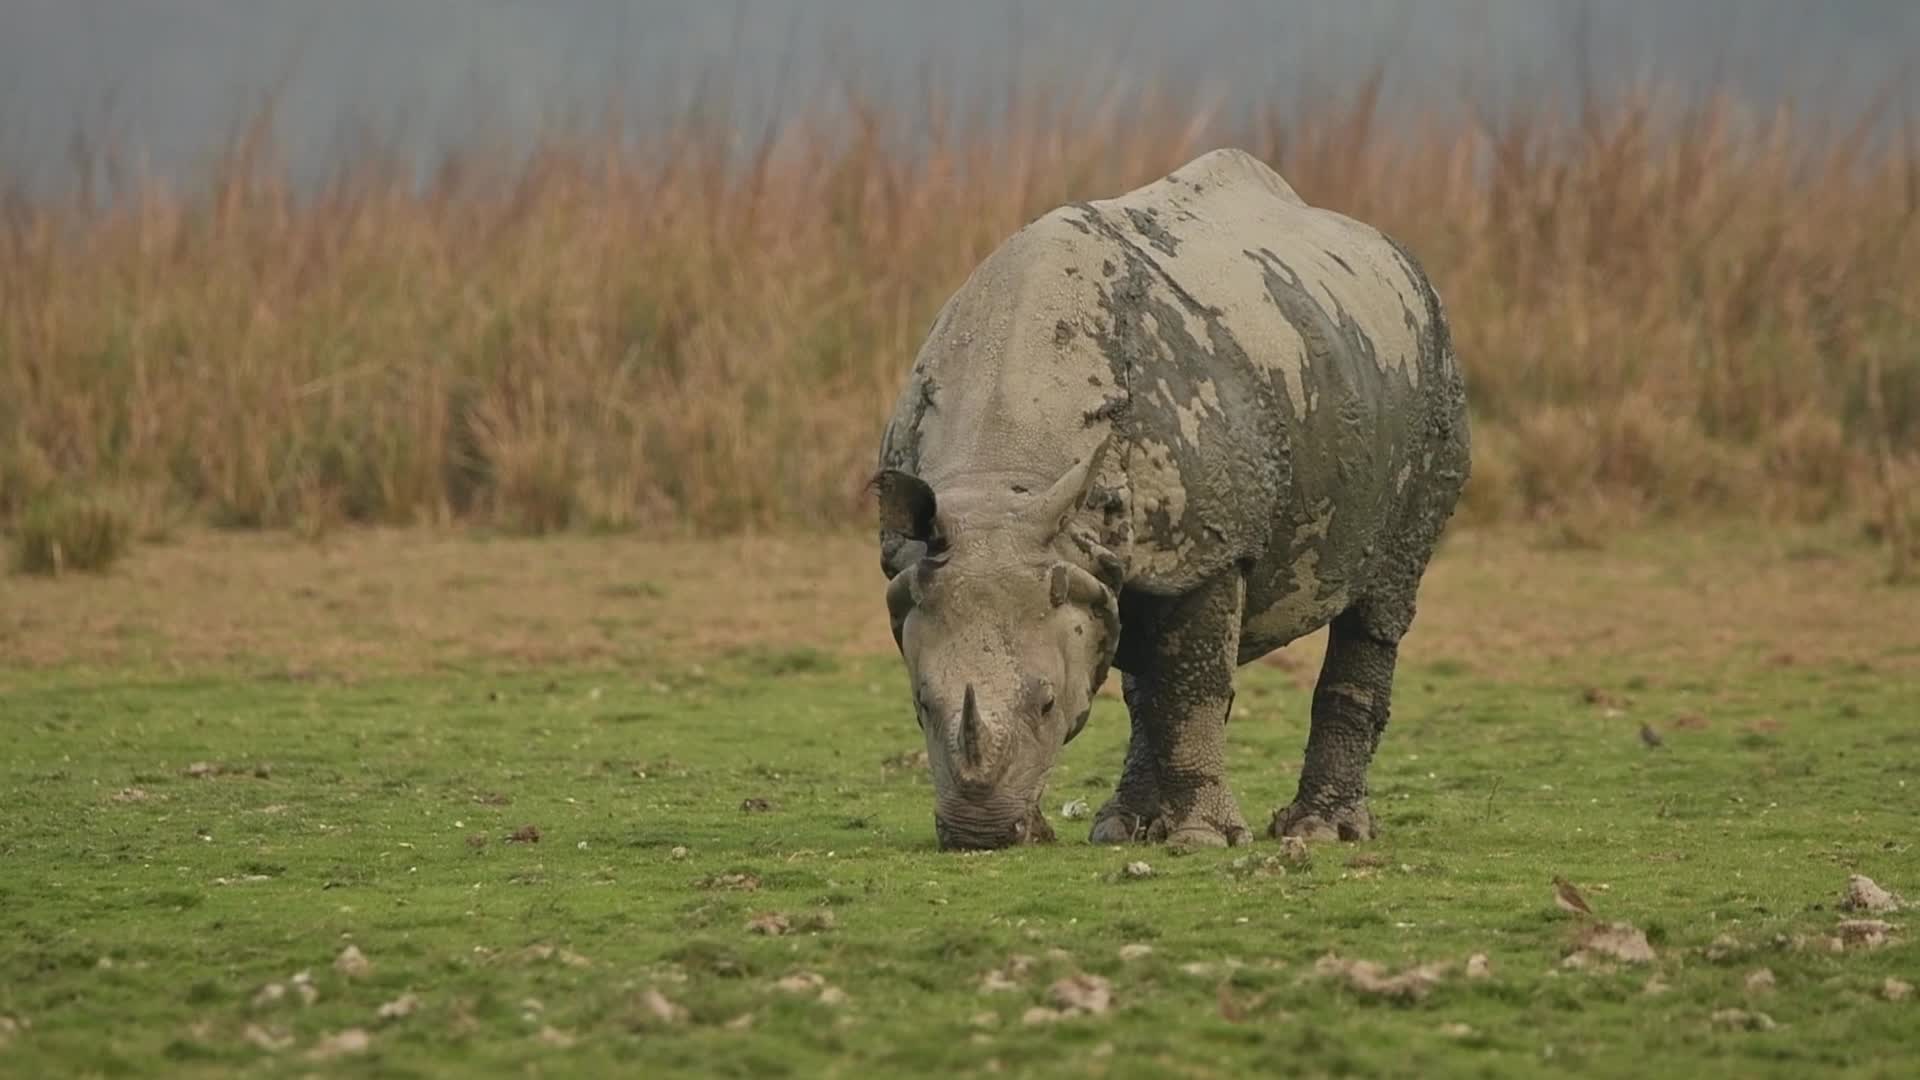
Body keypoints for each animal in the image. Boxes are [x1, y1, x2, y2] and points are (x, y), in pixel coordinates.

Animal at [873, 148, 1470, 851]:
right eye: (920, 704)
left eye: (1046, 703)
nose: (980, 833)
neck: (1008, 475)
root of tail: (1401, 258)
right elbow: (1159, 673)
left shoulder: (1213, 547)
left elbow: (1196, 685)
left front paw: (1201, 840)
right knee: (1133, 633)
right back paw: (1121, 829)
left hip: (1428, 370)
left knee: (1381, 599)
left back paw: (1322, 832)